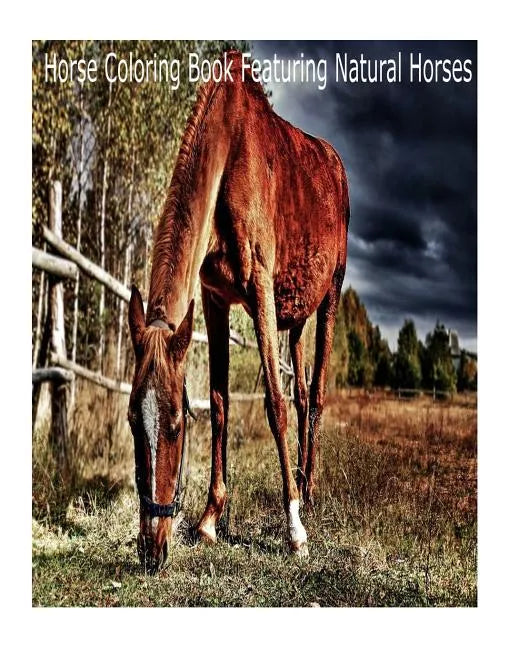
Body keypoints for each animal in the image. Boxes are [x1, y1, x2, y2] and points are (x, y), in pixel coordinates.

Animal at [127, 51, 349, 571]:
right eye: (130, 420)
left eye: (175, 424)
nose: (151, 547)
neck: (230, 155)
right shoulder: (214, 299)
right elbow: (222, 404)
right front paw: (210, 519)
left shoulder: (261, 290)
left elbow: (275, 404)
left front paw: (294, 529)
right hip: (297, 317)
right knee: (304, 391)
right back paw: (302, 484)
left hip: (331, 294)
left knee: (315, 397)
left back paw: (308, 494)